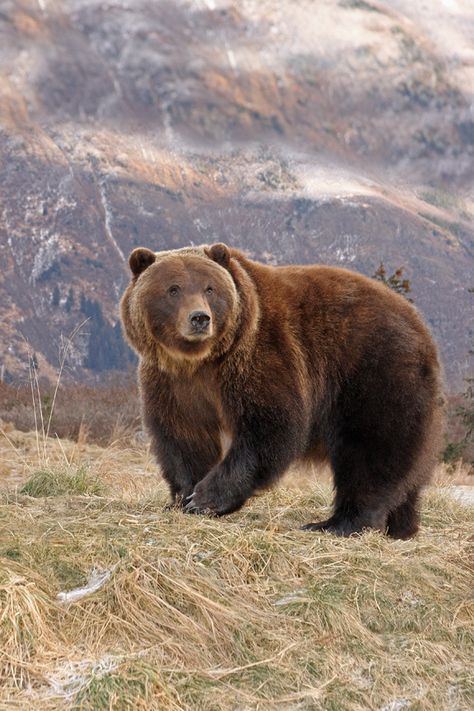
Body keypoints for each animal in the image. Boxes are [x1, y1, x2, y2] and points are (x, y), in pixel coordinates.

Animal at [119, 242, 444, 536]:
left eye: (209, 288)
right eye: (173, 289)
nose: (200, 317)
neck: (202, 360)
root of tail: (421, 326)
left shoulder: (261, 355)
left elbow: (269, 427)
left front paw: (205, 498)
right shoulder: (172, 383)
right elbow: (182, 436)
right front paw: (183, 496)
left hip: (374, 370)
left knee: (370, 448)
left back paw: (338, 523)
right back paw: (401, 526)